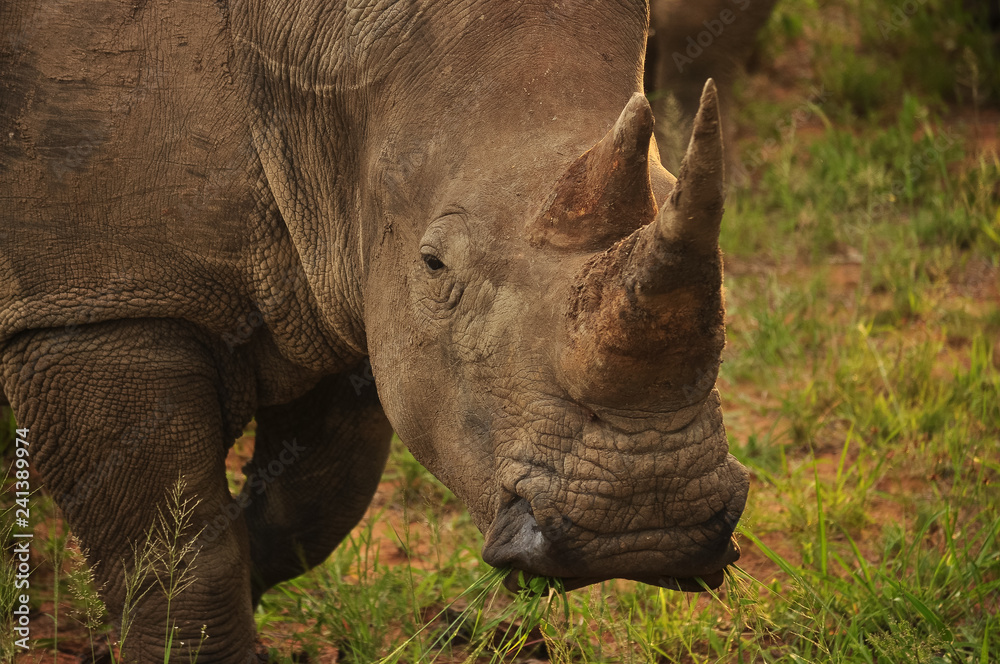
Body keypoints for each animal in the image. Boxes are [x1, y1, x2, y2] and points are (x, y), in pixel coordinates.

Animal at [1, 1, 748, 661]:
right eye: (434, 264)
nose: (644, 527)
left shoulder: (341, 278)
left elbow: (319, 499)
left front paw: (249, 580)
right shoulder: (92, 305)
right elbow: (172, 556)